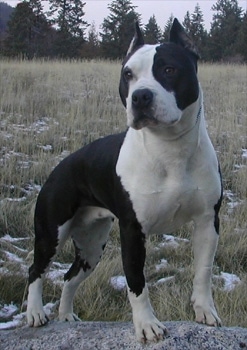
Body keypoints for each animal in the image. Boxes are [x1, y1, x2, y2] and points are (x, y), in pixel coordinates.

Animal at [26, 19, 222, 342]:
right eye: (127, 74)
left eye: (169, 69)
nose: (140, 96)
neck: (170, 149)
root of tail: (61, 165)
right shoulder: (132, 231)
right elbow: (136, 282)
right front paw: (147, 325)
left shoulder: (208, 222)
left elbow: (203, 271)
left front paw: (205, 310)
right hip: (50, 233)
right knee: (35, 270)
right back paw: (34, 313)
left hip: (92, 247)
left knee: (69, 277)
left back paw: (66, 316)